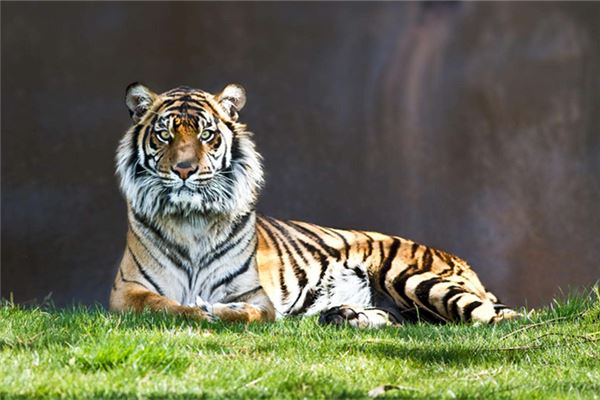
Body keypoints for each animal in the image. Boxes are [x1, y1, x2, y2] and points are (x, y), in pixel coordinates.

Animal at [109, 82, 520, 328]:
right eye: (164, 135)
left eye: (207, 134)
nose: (184, 170)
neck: (191, 220)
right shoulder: (126, 293)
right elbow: (166, 306)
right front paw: (198, 310)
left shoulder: (255, 296)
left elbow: (247, 313)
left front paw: (216, 311)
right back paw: (345, 315)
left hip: (415, 278)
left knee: (500, 318)